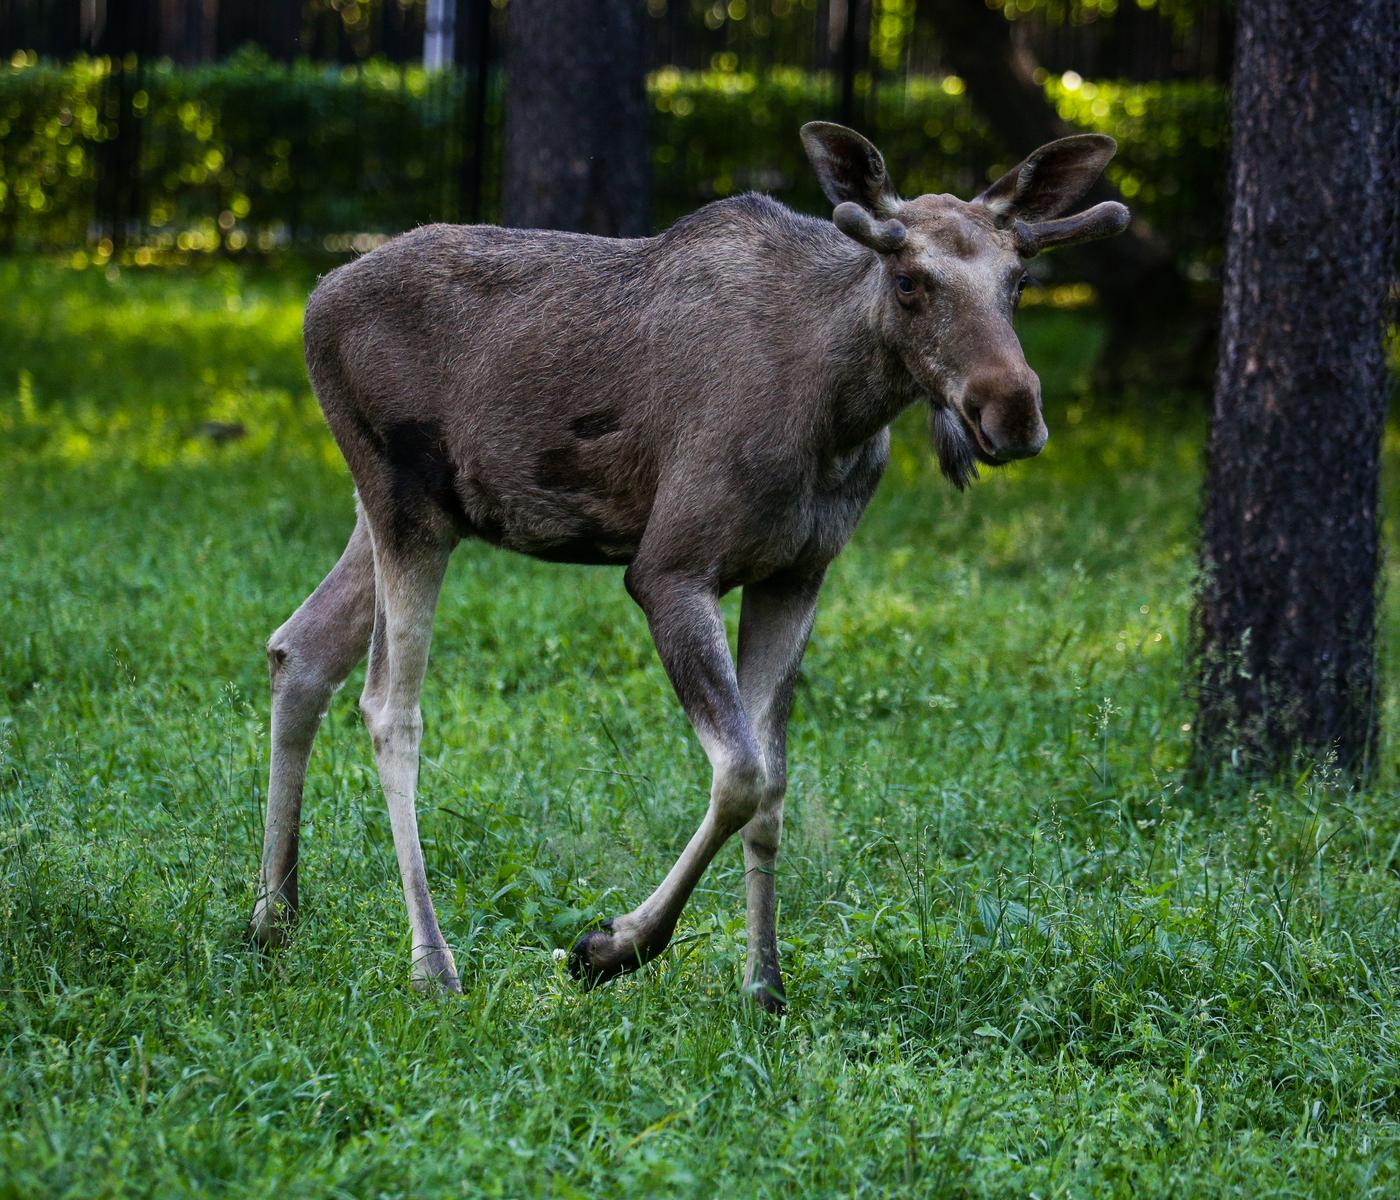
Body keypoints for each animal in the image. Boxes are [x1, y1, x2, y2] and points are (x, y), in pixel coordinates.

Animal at [249, 121, 1125, 1008]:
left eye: (1020, 280)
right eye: (910, 280)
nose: (1012, 410)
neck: (836, 412)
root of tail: (313, 302)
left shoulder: (797, 574)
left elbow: (775, 785)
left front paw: (763, 984)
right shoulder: (670, 567)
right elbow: (740, 773)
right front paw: (613, 946)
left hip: (410, 513)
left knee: (301, 646)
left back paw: (273, 913)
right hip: (404, 503)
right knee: (389, 706)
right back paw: (431, 959)